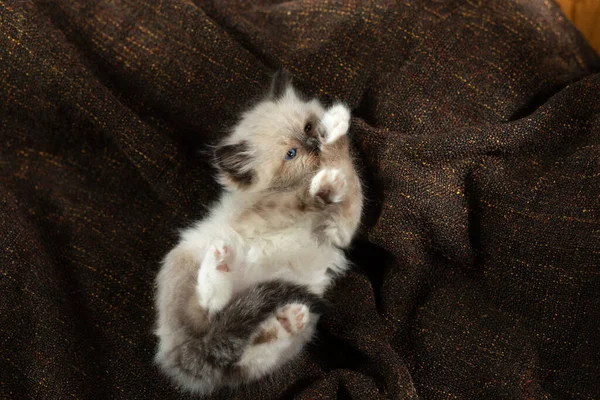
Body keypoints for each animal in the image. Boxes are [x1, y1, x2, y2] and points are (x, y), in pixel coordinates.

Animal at [152, 70, 364, 396]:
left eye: (308, 127)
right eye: (291, 154)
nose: (313, 142)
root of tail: (178, 357)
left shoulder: (340, 230)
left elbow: (349, 178)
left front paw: (335, 130)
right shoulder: (263, 217)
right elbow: (308, 197)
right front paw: (326, 182)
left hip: (267, 339)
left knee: (246, 353)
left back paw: (291, 319)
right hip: (186, 262)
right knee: (208, 311)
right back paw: (220, 262)